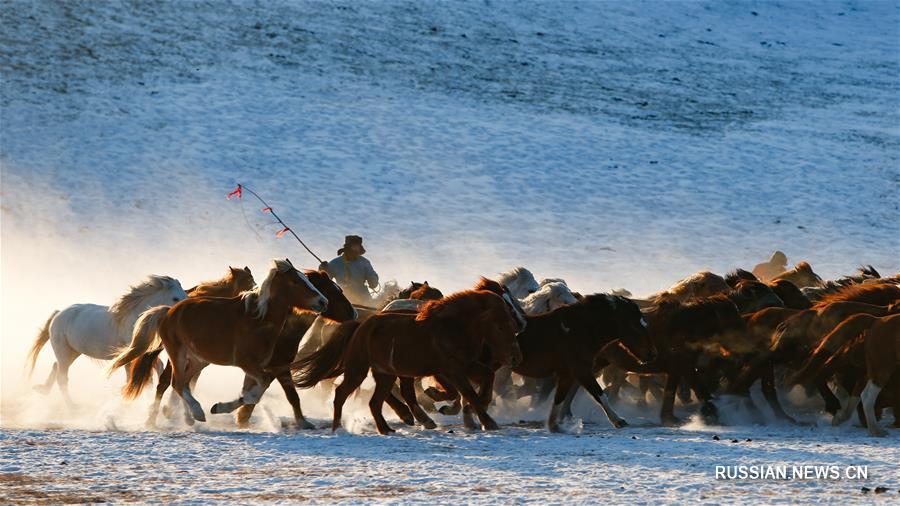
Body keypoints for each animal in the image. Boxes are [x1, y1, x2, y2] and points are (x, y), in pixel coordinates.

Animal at [26, 274, 188, 406]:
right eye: (175, 298)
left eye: (185, 294)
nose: (183, 314)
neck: (135, 319)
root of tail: (58, 314)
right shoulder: (134, 353)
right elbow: (138, 374)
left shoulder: (142, 354)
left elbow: (153, 369)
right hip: (64, 352)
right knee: (62, 378)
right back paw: (73, 407)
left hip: (72, 352)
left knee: (56, 367)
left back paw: (43, 390)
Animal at [109, 258, 326, 424]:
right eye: (296, 282)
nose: (323, 301)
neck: (259, 319)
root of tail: (168, 311)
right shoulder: (246, 363)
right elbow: (256, 390)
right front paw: (219, 407)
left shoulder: (257, 366)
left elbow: (253, 392)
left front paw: (224, 408)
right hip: (178, 354)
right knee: (176, 383)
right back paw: (196, 414)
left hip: (199, 360)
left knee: (184, 383)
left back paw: (188, 417)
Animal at [296, 288, 520, 434]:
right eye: (500, 326)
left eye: (510, 323)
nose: (514, 356)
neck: (453, 328)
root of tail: (361, 325)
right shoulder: (453, 370)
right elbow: (467, 393)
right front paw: (487, 421)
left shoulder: (467, 365)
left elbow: (484, 381)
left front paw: (478, 411)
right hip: (358, 369)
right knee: (342, 393)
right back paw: (337, 428)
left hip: (385, 374)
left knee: (376, 401)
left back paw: (388, 428)